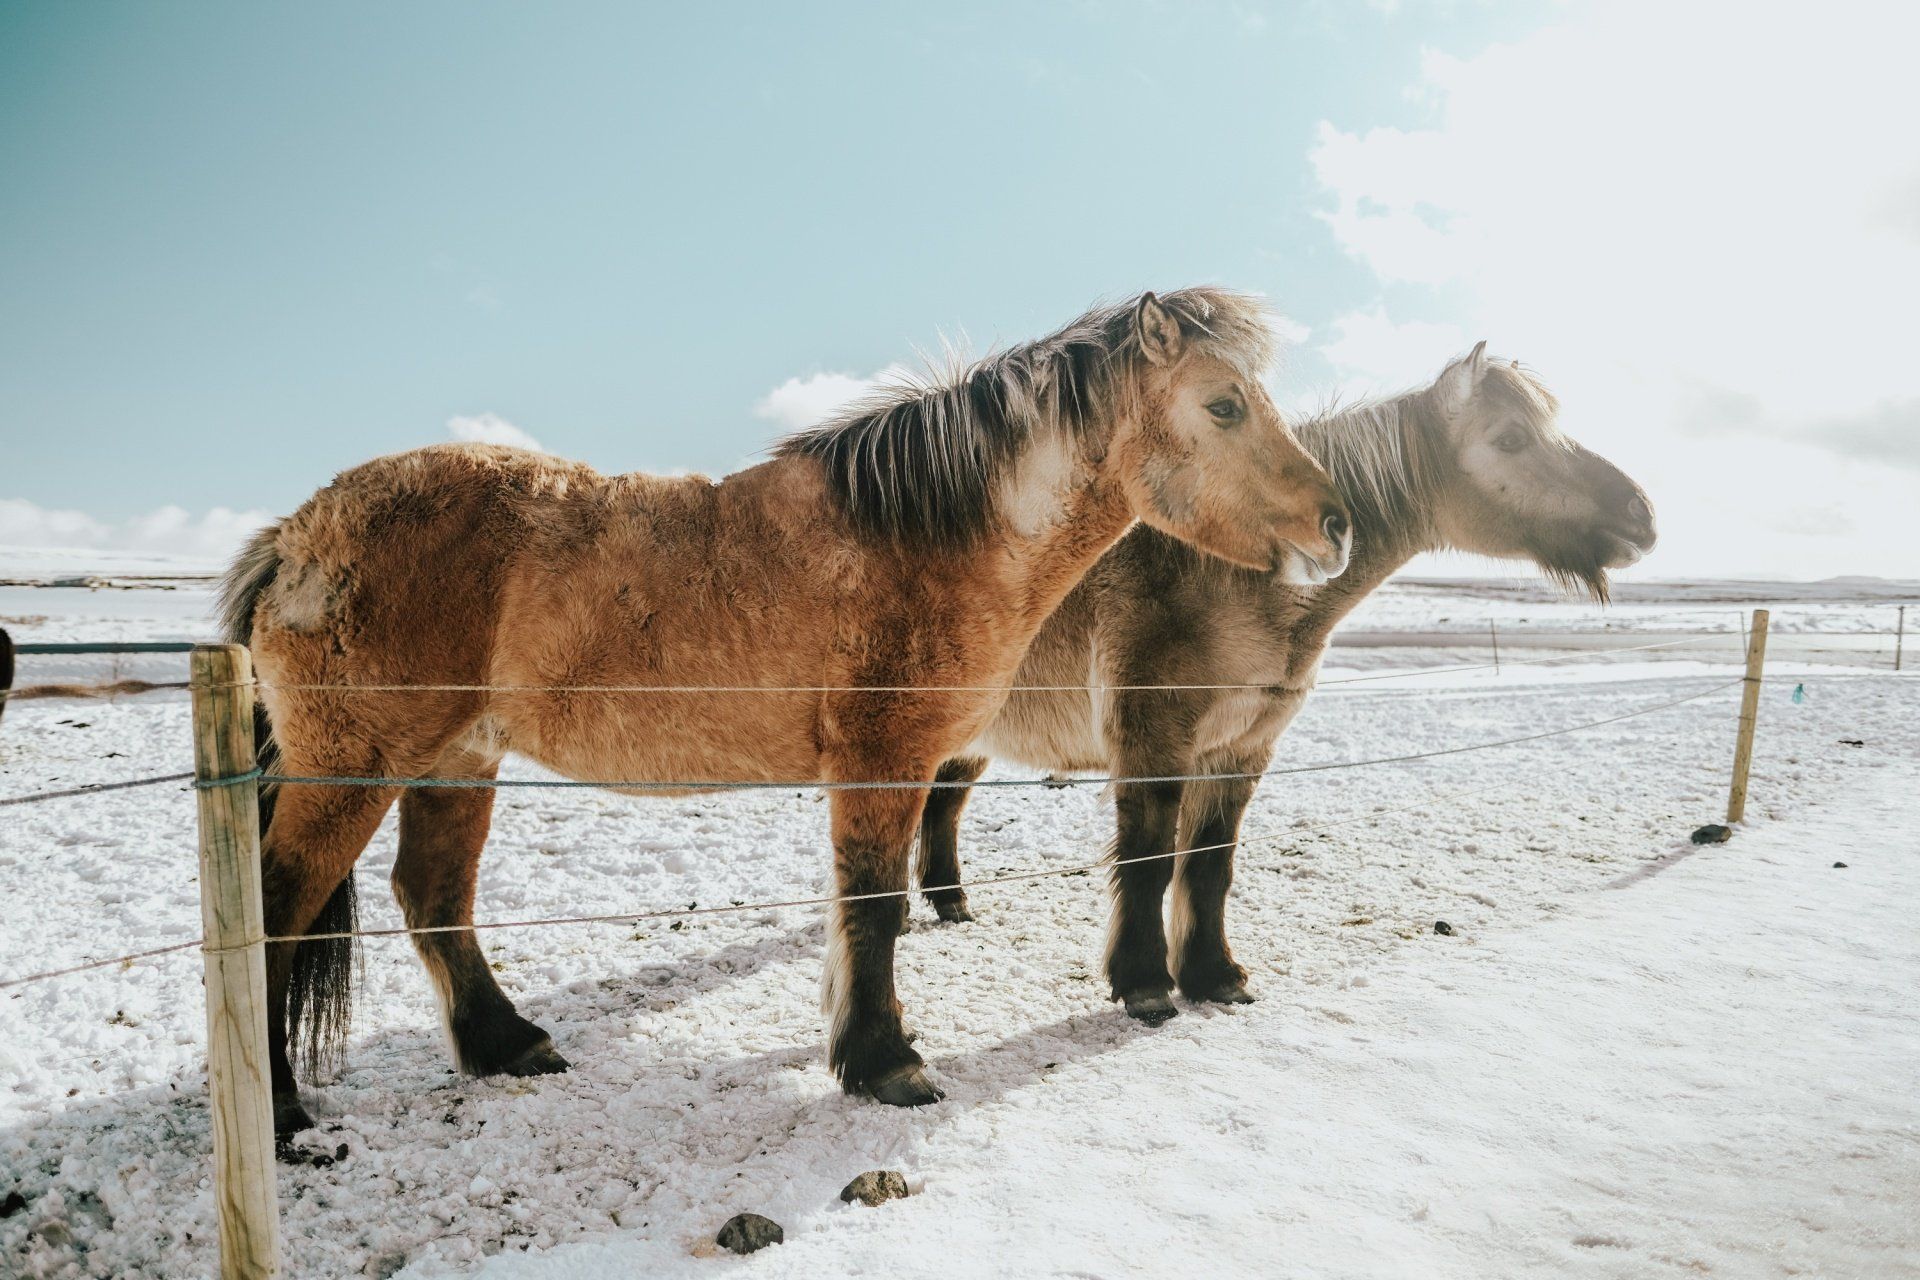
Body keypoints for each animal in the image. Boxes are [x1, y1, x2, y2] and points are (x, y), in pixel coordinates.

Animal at [220, 288, 1354, 1133]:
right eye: (1223, 405)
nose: (1335, 522)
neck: (925, 537)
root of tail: (296, 535)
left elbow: (863, 907)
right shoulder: (883, 757)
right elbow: (876, 907)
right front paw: (887, 1062)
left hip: (457, 760)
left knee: (433, 898)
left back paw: (511, 1046)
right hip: (353, 766)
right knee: (274, 910)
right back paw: (279, 1116)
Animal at [915, 343, 1658, 1021]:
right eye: (1511, 438)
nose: (1641, 513)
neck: (1223, 576)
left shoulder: (1241, 751)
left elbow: (1209, 866)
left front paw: (1214, 976)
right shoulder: (1155, 744)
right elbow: (1150, 860)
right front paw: (1145, 984)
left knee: (942, 808)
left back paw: (948, 904)